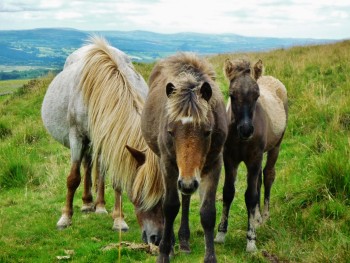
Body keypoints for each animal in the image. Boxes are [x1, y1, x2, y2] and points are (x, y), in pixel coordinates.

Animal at [141, 52, 228, 262]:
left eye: (207, 132)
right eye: (171, 132)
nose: (188, 183)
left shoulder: (214, 164)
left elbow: (208, 213)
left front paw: (210, 257)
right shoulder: (168, 164)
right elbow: (170, 206)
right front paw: (164, 253)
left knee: (186, 198)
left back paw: (184, 241)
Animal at [216, 58, 288, 253]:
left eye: (257, 96)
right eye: (232, 95)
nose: (246, 130)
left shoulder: (254, 158)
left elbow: (250, 196)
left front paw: (251, 240)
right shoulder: (230, 159)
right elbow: (228, 192)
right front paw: (221, 234)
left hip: (275, 147)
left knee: (268, 175)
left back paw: (264, 216)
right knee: (259, 181)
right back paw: (256, 217)